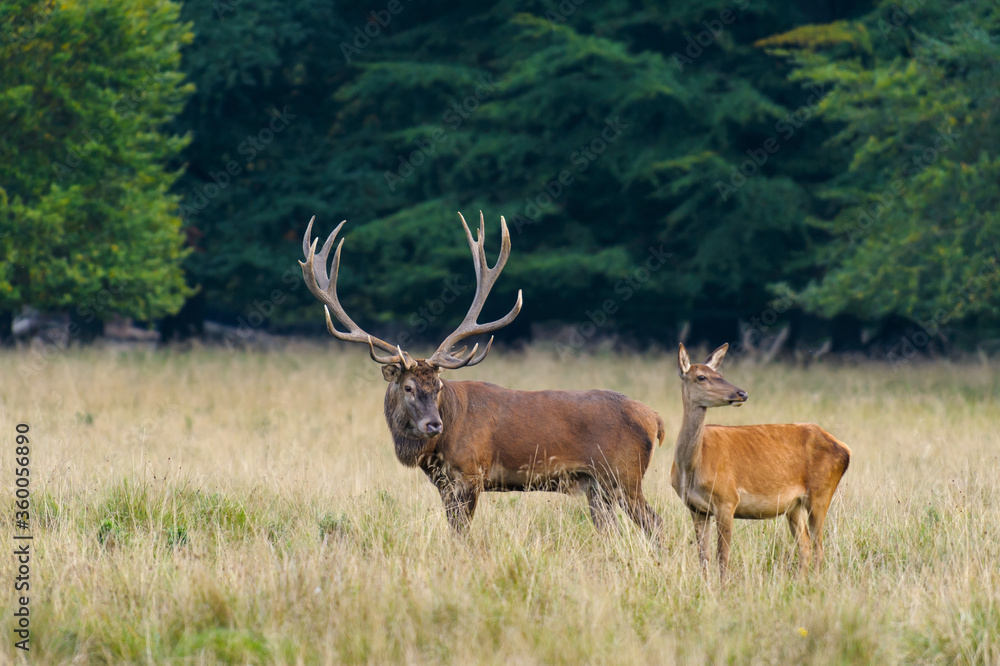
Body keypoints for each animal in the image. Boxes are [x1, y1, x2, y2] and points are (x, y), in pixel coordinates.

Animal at [300, 211, 666, 541]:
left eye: (438, 387)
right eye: (408, 387)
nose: (433, 424)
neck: (435, 449)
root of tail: (655, 419)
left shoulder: (471, 473)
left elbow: (461, 535)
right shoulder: (445, 484)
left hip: (624, 473)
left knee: (655, 522)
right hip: (597, 486)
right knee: (612, 531)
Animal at [671, 342, 850, 579]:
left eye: (721, 374)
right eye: (701, 377)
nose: (742, 393)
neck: (691, 468)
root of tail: (845, 448)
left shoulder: (727, 498)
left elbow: (722, 557)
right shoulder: (696, 508)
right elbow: (704, 557)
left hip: (821, 493)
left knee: (819, 548)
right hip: (794, 505)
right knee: (805, 545)